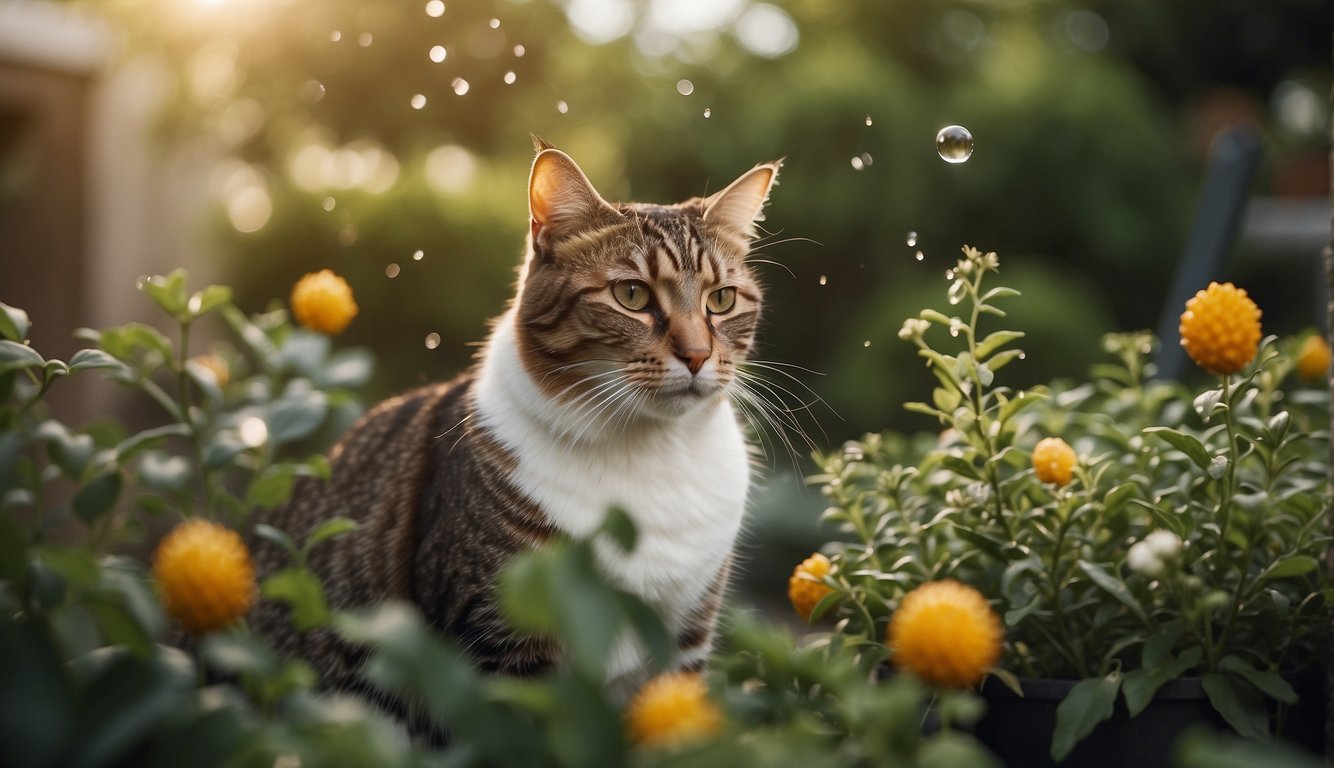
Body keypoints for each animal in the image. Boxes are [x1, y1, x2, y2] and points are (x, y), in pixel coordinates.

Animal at [250, 139, 779, 730]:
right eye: (633, 295)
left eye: (722, 300)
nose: (696, 355)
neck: (653, 454)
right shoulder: (502, 646)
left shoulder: (682, 645)